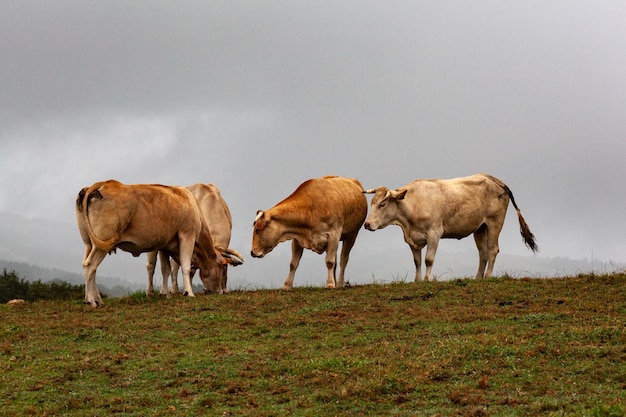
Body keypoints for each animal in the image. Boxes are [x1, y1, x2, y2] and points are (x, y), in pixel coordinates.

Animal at [75, 179, 232, 306]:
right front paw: (189, 292)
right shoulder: (187, 235)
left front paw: (166, 293)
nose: (220, 291)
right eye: (221, 267)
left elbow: (166, 269)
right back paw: (92, 301)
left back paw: (96, 299)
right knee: (90, 265)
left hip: (88, 243)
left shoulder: (165, 245)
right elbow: (185, 266)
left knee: (89, 267)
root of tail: (102, 183)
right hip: (101, 244)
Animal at [360, 172, 536, 280]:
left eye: (382, 204)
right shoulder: (412, 239)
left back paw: (488, 276)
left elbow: (428, 259)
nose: (367, 224)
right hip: (480, 228)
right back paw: (478, 278)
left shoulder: (434, 233)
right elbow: (417, 261)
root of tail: (495, 180)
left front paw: (427, 280)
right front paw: (417, 280)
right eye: (372, 203)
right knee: (483, 253)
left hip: (495, 223)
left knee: (493, 250)